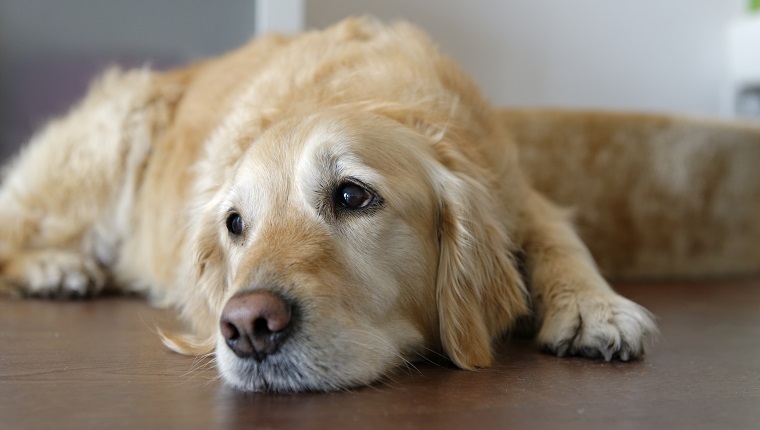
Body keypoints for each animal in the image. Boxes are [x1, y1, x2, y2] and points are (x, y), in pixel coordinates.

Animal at [0, 17, 652, 394]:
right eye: (235, 224)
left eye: (352, 195)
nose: (247, 327)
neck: (365, 93)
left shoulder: (516, 193)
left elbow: (560, 236)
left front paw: (595, 307)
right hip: (107, 144)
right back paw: (58, 268)